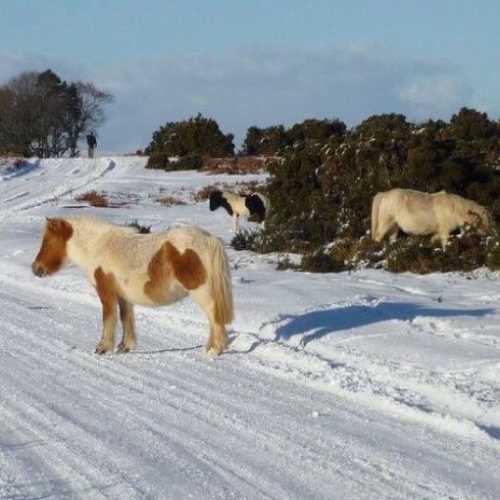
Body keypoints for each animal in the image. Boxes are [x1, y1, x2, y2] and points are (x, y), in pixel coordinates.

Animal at [31, 218, 234, 356]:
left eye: (48, 242)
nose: (36, 269)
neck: (99, 246)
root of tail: (209, 239)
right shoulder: (123, 296)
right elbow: (125, 317)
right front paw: (125, 346)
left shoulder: (106, 293)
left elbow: (109, 318)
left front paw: (103, 348)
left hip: (201, 292)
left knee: (213, 317)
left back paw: (214, 351)